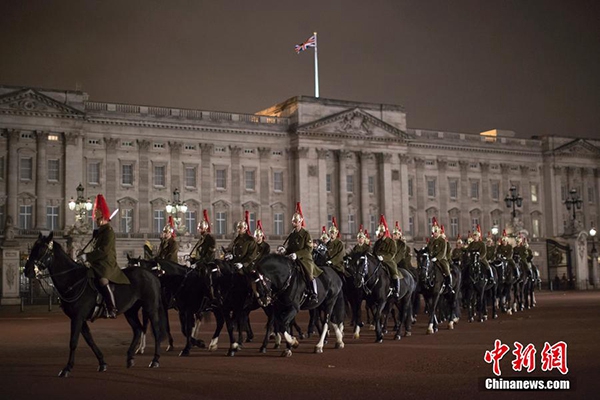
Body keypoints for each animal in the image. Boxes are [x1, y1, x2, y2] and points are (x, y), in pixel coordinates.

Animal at [23, 233, 165, 376]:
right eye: (33, 248)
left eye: (41, 250)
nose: (27, 271)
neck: (73, 280)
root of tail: (153, 275)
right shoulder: (79, 319)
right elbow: (89, 340)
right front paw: (102, 362)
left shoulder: (77, 318)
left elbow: (73, 341)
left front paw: (67, 368)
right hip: (130, 311)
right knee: (137, 329)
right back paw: (130, 357)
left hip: (150, 309)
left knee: (156, 332)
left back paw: (155, 360)